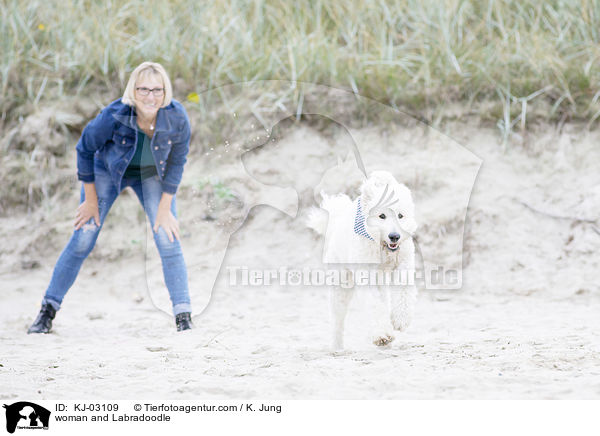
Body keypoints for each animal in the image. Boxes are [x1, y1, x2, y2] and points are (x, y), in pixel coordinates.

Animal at [310, 171, 418, 350]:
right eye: (382, 216)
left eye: (400, 215)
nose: (394, 236)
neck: (381, 248)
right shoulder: (366, 276)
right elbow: (374, 305)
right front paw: (381, 335)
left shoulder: (403, 266)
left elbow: (403, 292)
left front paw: (400, 320)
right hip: (341, 285)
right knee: (337, 321)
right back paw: (337, 346)